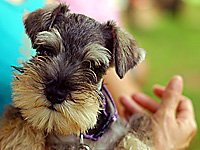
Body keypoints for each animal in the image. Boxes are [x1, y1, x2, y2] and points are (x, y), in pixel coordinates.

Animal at [0, 3, 151, 150]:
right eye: (46, 50)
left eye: (92, 65)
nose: (55, 93)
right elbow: (19, 120)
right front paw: (21, 142)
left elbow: (133, 136)